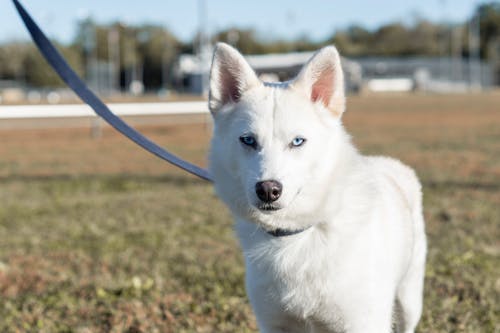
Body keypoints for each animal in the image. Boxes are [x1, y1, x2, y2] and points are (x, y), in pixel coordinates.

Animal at [207, 42, 426, 330]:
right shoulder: (274, 324)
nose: (268, 190)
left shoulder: (363, 323)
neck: (297, 234)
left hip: (409, 299)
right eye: (248, 140)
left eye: (298, 141)